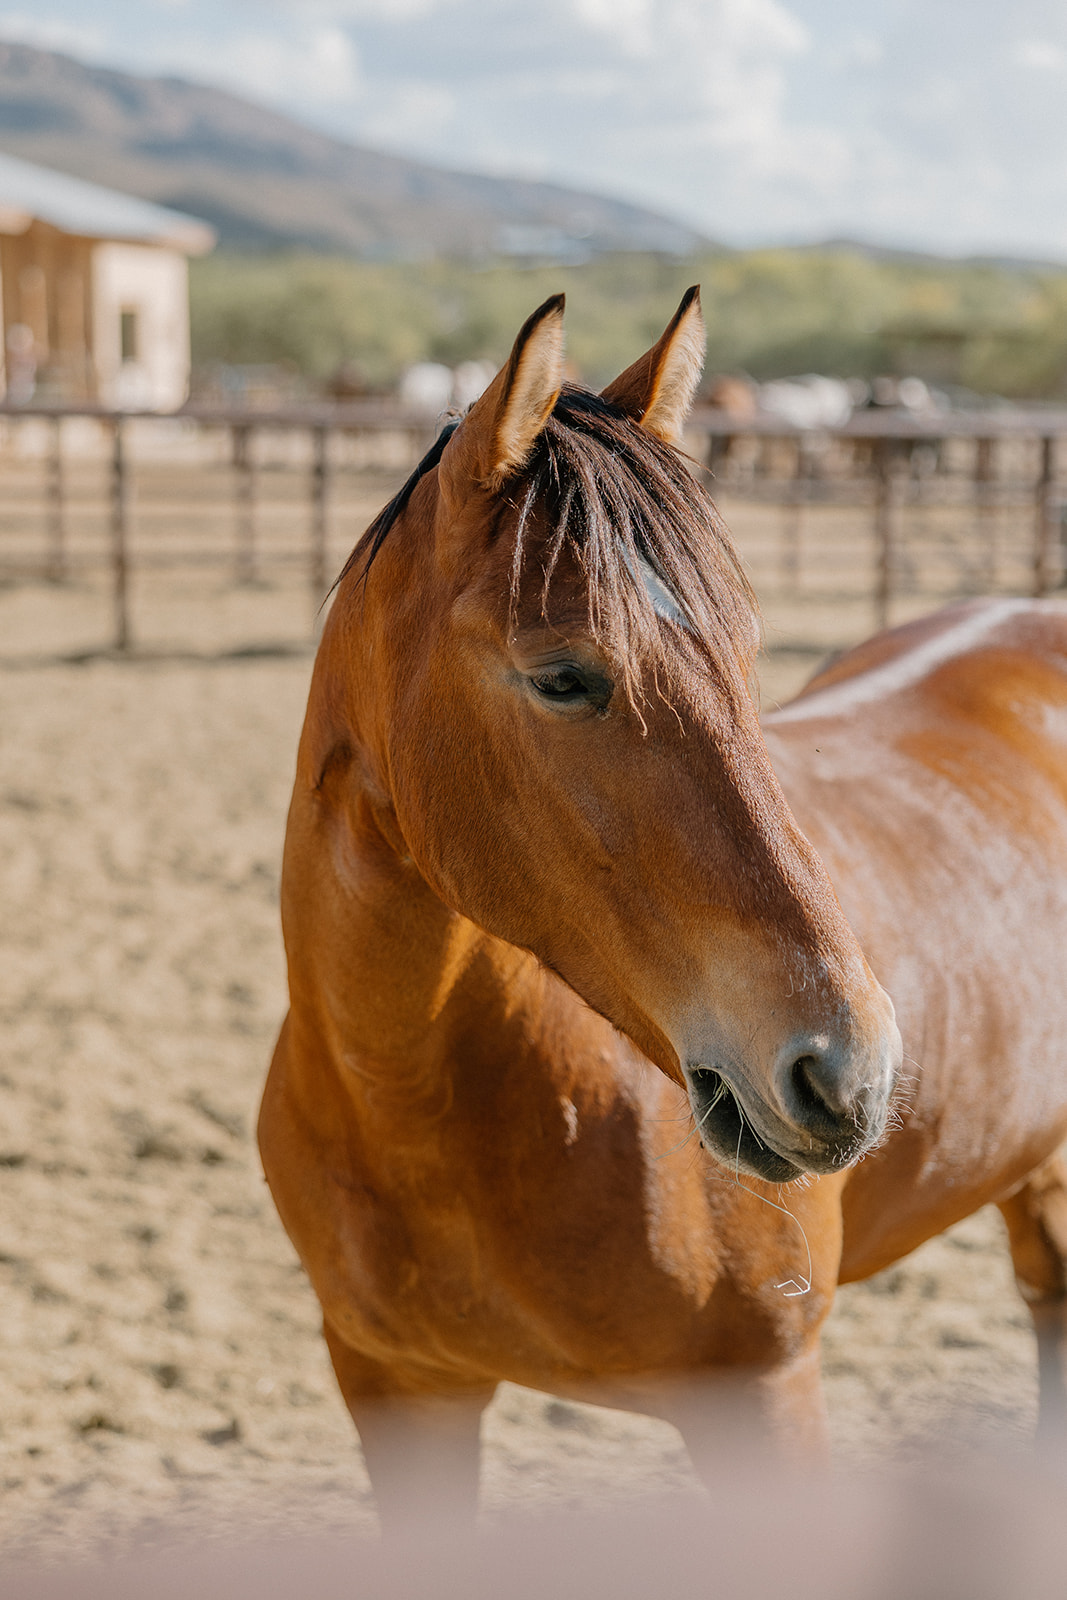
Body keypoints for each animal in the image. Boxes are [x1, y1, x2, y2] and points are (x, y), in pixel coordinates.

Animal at [259, 289, 1067, 1526]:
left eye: (743, 653)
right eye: (563, 676)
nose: (849, 1070)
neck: (418, 1111)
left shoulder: (763, 1399)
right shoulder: (398, 1388)